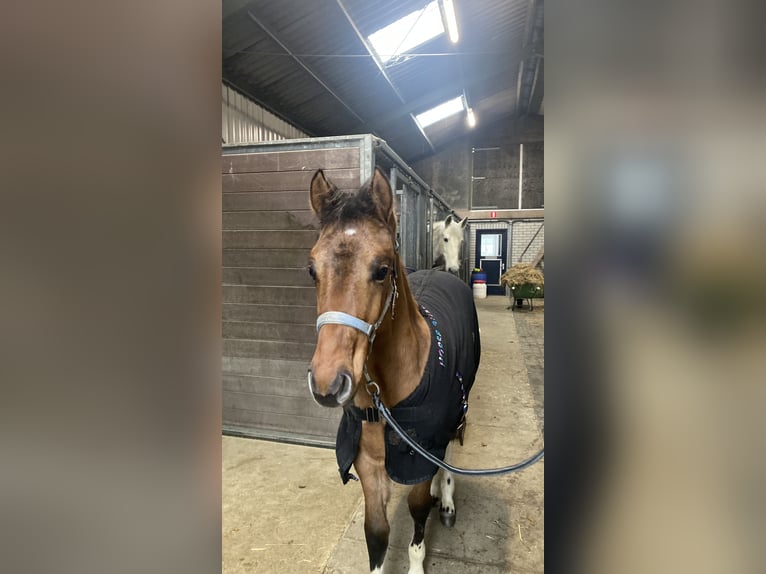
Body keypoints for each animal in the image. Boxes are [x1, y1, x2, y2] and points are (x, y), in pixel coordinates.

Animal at [307, 168, 481, 574]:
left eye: (382, 270)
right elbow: (376, 534)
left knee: (449, 451)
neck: (384, 398)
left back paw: (445, 499)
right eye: (311, 270)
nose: (327, 383)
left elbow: (417, 511)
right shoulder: (367, 465)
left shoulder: (422, 450)